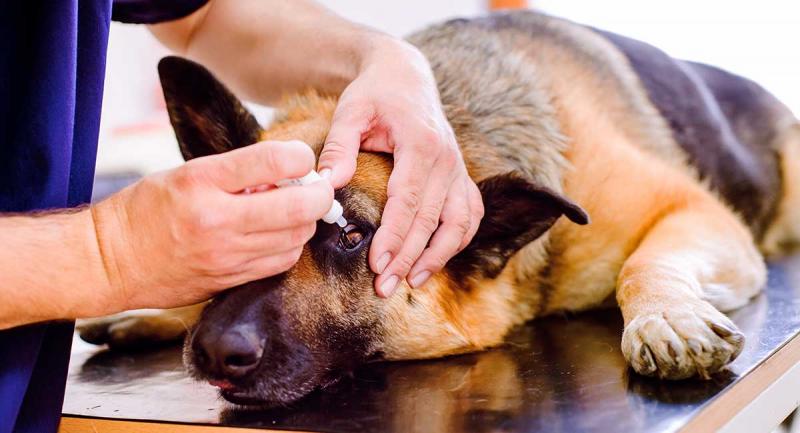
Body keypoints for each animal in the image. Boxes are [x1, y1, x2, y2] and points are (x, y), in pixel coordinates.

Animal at [76, 11, 800, 406]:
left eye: (350, 237)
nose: (215, 350)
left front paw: (665, 317)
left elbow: (643, 264)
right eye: (242, 228)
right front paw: (163, 308)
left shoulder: (696, 214)